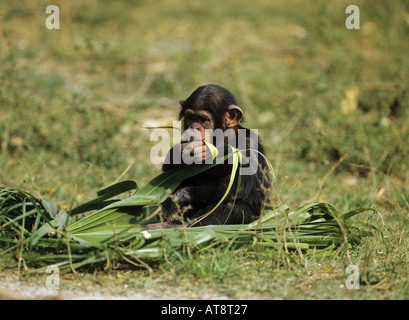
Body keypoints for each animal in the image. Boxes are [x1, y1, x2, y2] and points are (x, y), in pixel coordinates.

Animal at [148, 84, 270, 229]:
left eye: (203, 119)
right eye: (190, 118)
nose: (193, 127)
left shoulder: (247, 144)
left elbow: (237, 186)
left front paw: (177, 198)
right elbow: (171, 177)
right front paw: (181, 152)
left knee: (229, 208)